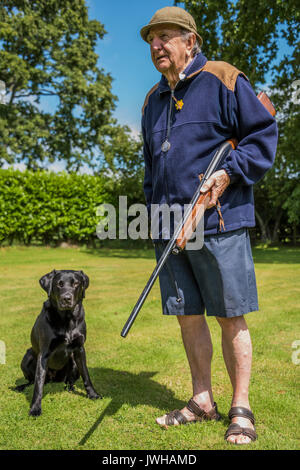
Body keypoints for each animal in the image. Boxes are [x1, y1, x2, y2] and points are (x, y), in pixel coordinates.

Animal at [16, 270, 101, 416]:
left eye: (76, 283)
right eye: (59, 284)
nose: (66, 299)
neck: (67, 319)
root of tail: (53, 379)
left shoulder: (79, 349)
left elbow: (86, 375)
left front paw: (93, 394)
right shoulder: (43, 354)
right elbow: (38, 384)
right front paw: (35, 408)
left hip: (72, 362)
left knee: (69, 381)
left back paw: (70, 388)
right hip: (27, 356)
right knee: (32, 381)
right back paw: (21, 387)